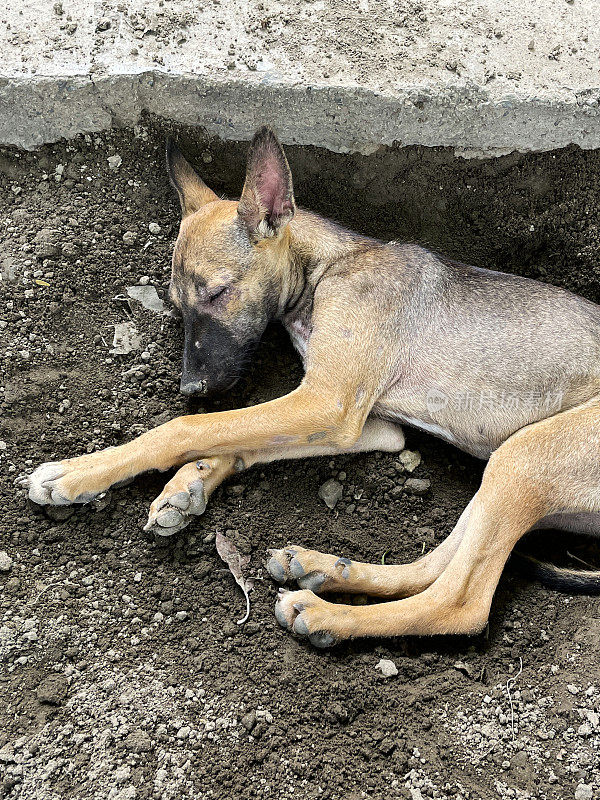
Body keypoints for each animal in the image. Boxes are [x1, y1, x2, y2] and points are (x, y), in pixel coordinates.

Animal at [23, 126, 600, 648]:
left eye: (218, 293)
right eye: (177, 303)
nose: (192, 385)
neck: (329, 267)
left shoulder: (327, 403)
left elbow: (191, 428)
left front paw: (78, 473)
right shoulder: (365, 424)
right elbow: (237, 439)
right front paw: (189, 486)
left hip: (524, 457)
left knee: (460, 601)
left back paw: (329, 615)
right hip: (505, 471)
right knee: (433, 566)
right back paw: (327, 569)